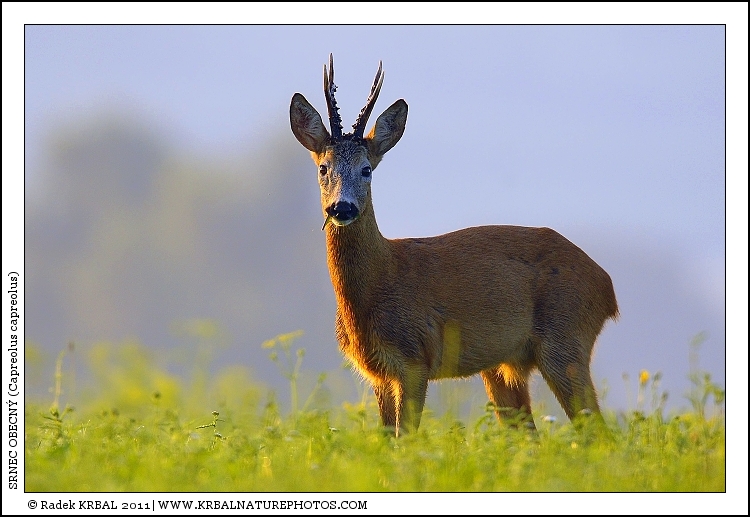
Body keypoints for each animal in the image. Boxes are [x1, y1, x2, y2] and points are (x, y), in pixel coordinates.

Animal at [289, 54, 618, 436]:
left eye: (367, 169)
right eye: (323, 167)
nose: (342, 208)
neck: (377, 285)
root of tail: (607, 287)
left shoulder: (415, 358)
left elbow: (407, 438)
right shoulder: (378, 373)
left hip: (566, 339)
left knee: (598, 431)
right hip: (505, 365)